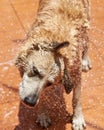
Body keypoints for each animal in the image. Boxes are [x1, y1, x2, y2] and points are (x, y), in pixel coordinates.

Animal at [15, 0, 92, 129]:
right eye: (35, 70)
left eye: (49, 83)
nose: (30, 102)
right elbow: (42, 96)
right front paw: (43, 115)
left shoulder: (76, 72)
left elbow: (76, 98)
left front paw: (77, 119)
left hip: (87, 18)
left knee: (87, 39)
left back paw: (85, 60)